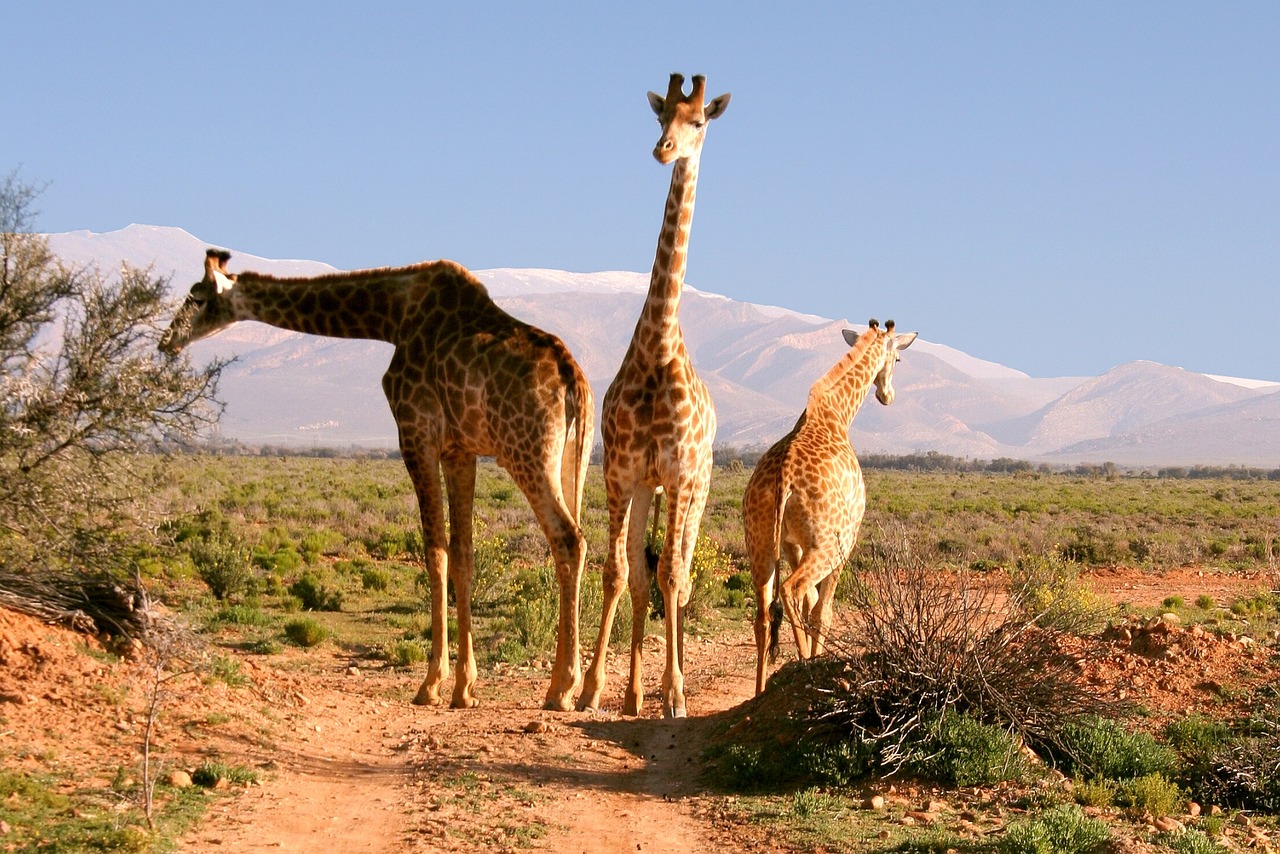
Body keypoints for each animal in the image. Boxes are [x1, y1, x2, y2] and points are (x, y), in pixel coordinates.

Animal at [161, 250, 593, 711]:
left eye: (197, 296)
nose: (166, 340)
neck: (390, 317)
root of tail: (572, 380)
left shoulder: (415, 431)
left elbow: (434, 552)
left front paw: (430, 684)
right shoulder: (460, 450)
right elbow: (463, 554)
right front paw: (464, 688)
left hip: (524, 452)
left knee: (568, 538)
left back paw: (562, 689)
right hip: (574, 458)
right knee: (580, 542)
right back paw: (572, 686)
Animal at [747, 320, 916, 696]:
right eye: (898, 358)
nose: (888, 396)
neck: (837, 413)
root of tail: (784, 479)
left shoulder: (793, 543)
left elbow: (811, 602)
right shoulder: (846, 539)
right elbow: (822, 610)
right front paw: (815, 659)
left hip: (760, 543)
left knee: (763, 613)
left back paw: (761, 691)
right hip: (827, 544)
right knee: (791, 590)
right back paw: (802, 666)